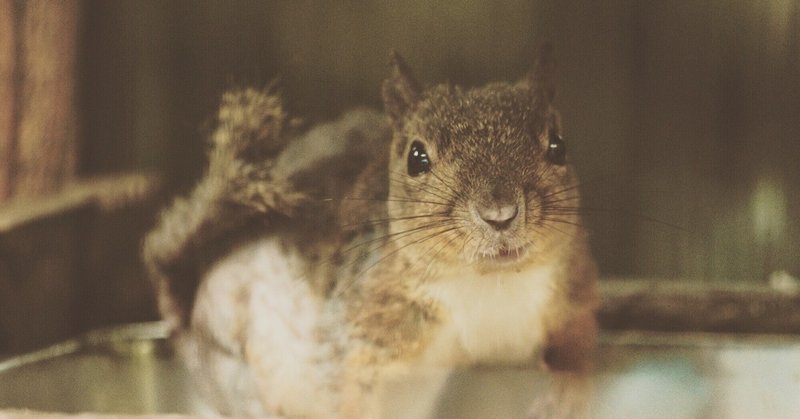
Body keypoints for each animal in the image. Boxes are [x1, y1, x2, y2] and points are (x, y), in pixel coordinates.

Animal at [141, 44, 596, 418]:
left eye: (558, 146)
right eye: (416, 158)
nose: (499, 213)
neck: (488, 283)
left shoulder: (569, 290)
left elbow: (577, 342)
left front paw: (567, 390)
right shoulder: (359, 317)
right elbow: (347, 378)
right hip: (231, 356)